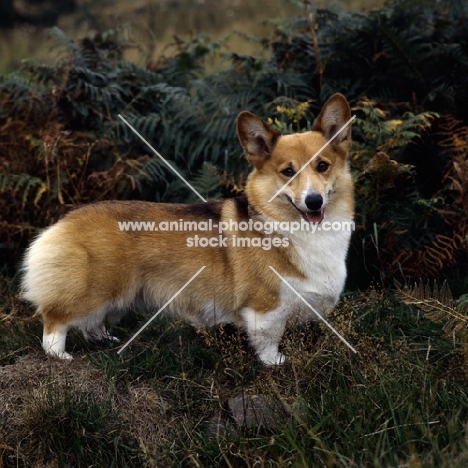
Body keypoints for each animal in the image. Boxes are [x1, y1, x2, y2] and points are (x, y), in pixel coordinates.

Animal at [20, 93, 352, 366]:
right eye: (288, 171)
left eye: (322, 166)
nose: (313, 201)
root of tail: (64, 222)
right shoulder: (265, 307)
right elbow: (268, 340)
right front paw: (275, 363)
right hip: (93, 291)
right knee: (55, 321)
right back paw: (60, 355)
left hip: (115, 298)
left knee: (92, 324)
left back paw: (105, 339)